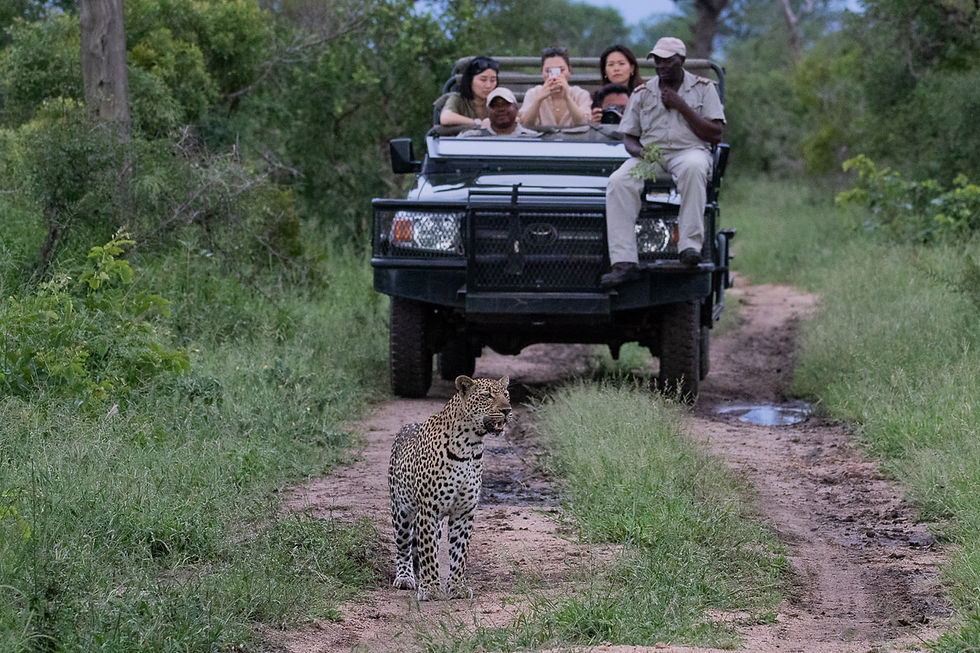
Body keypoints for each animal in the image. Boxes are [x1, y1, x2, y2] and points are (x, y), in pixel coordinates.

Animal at [388, 374, 511, 601]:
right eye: (487, 395)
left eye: (506, 394)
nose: (507, 410)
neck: (471, 446)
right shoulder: (428, 510)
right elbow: (426, 551)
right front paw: (430, 588)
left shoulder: (464, 512)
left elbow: (459, 552)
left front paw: (457, 587)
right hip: (401, 511)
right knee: (403, 546)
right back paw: (405, 578)